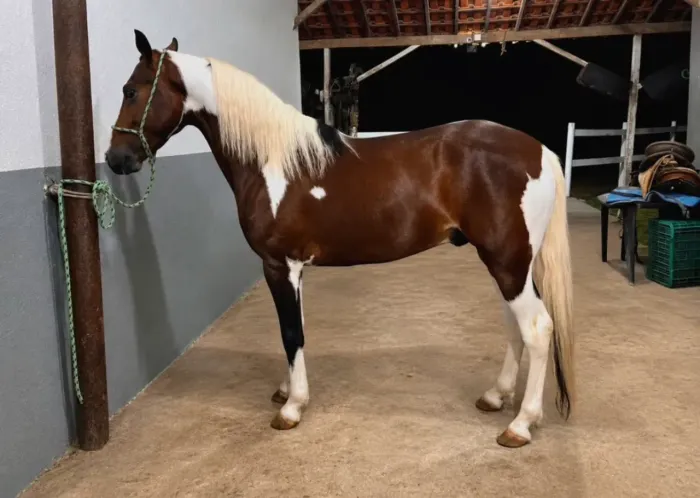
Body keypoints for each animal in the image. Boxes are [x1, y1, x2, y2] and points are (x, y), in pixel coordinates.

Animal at [106, 30, 575, 449]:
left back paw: (521, 425)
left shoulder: (279, 264)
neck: (272, 160)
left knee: (537, 329)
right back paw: (496, 396)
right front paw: (286, 390)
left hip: (507, 261)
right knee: (516, 327)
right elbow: (295, 329)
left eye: (130, 90)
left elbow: (290, 333)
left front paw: (292, 407)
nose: (115, 159)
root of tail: (539, 151)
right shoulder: (294, 269)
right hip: (508, 264)